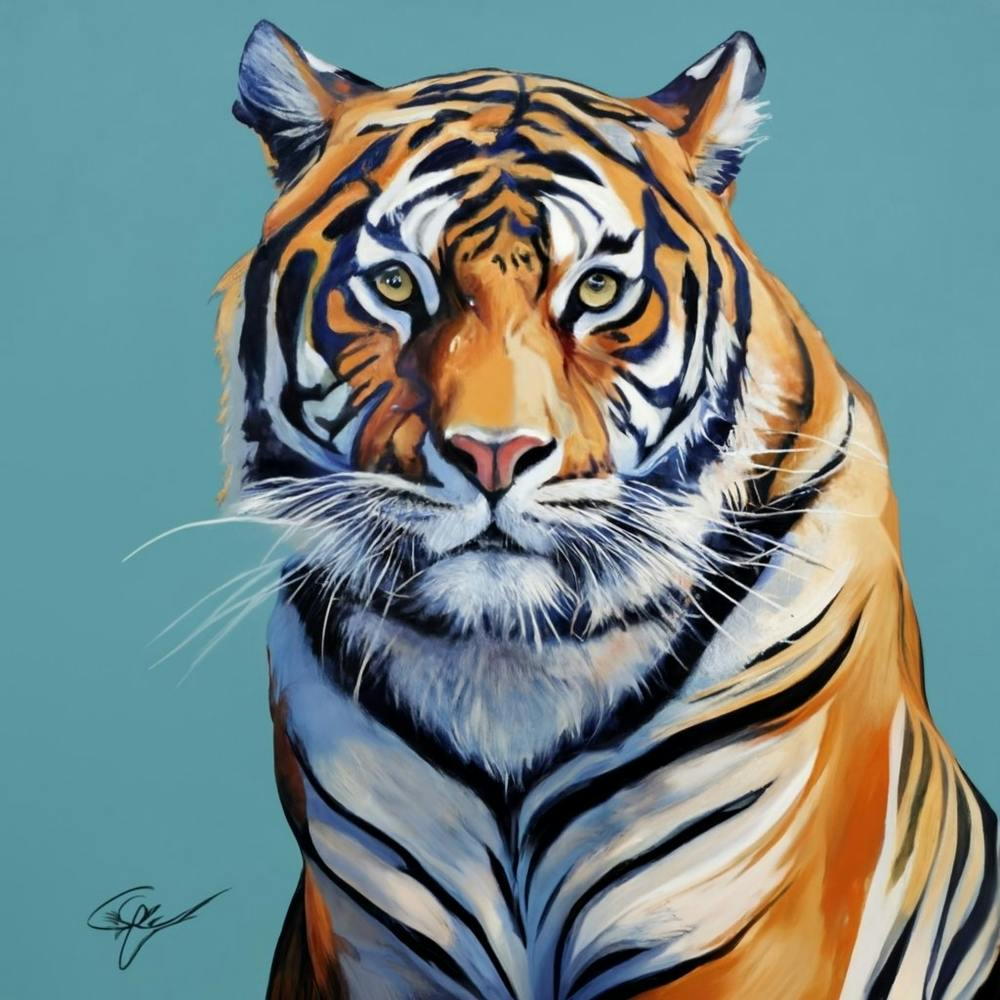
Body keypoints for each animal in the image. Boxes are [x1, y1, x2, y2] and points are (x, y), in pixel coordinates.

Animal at [213, 19, 1000, 1000]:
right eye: (396, 286)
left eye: (595, 291)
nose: (493, 453)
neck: (506, 674)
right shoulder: (377, 948)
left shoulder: (743, 937)